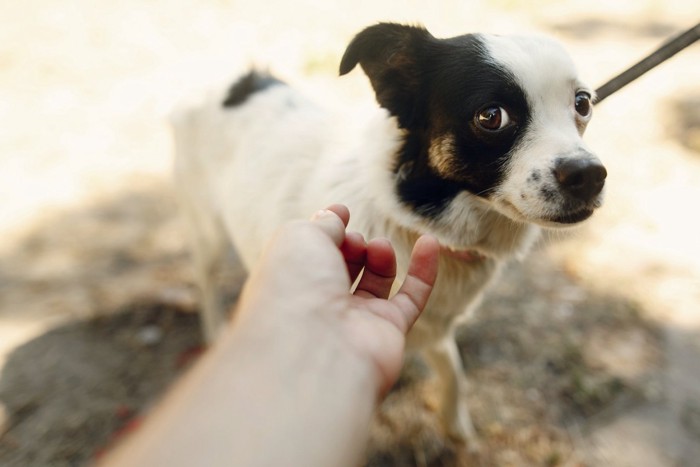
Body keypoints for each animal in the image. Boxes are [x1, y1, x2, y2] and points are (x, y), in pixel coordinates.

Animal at [172, 23, 604, 448]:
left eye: (583, 103)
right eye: (491, 116)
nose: (590, 175)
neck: (416, 222)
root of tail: (230, 80)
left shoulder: (432, 326)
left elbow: (453, 368)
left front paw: (455, 425)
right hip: (206, 230)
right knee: (205, 280)